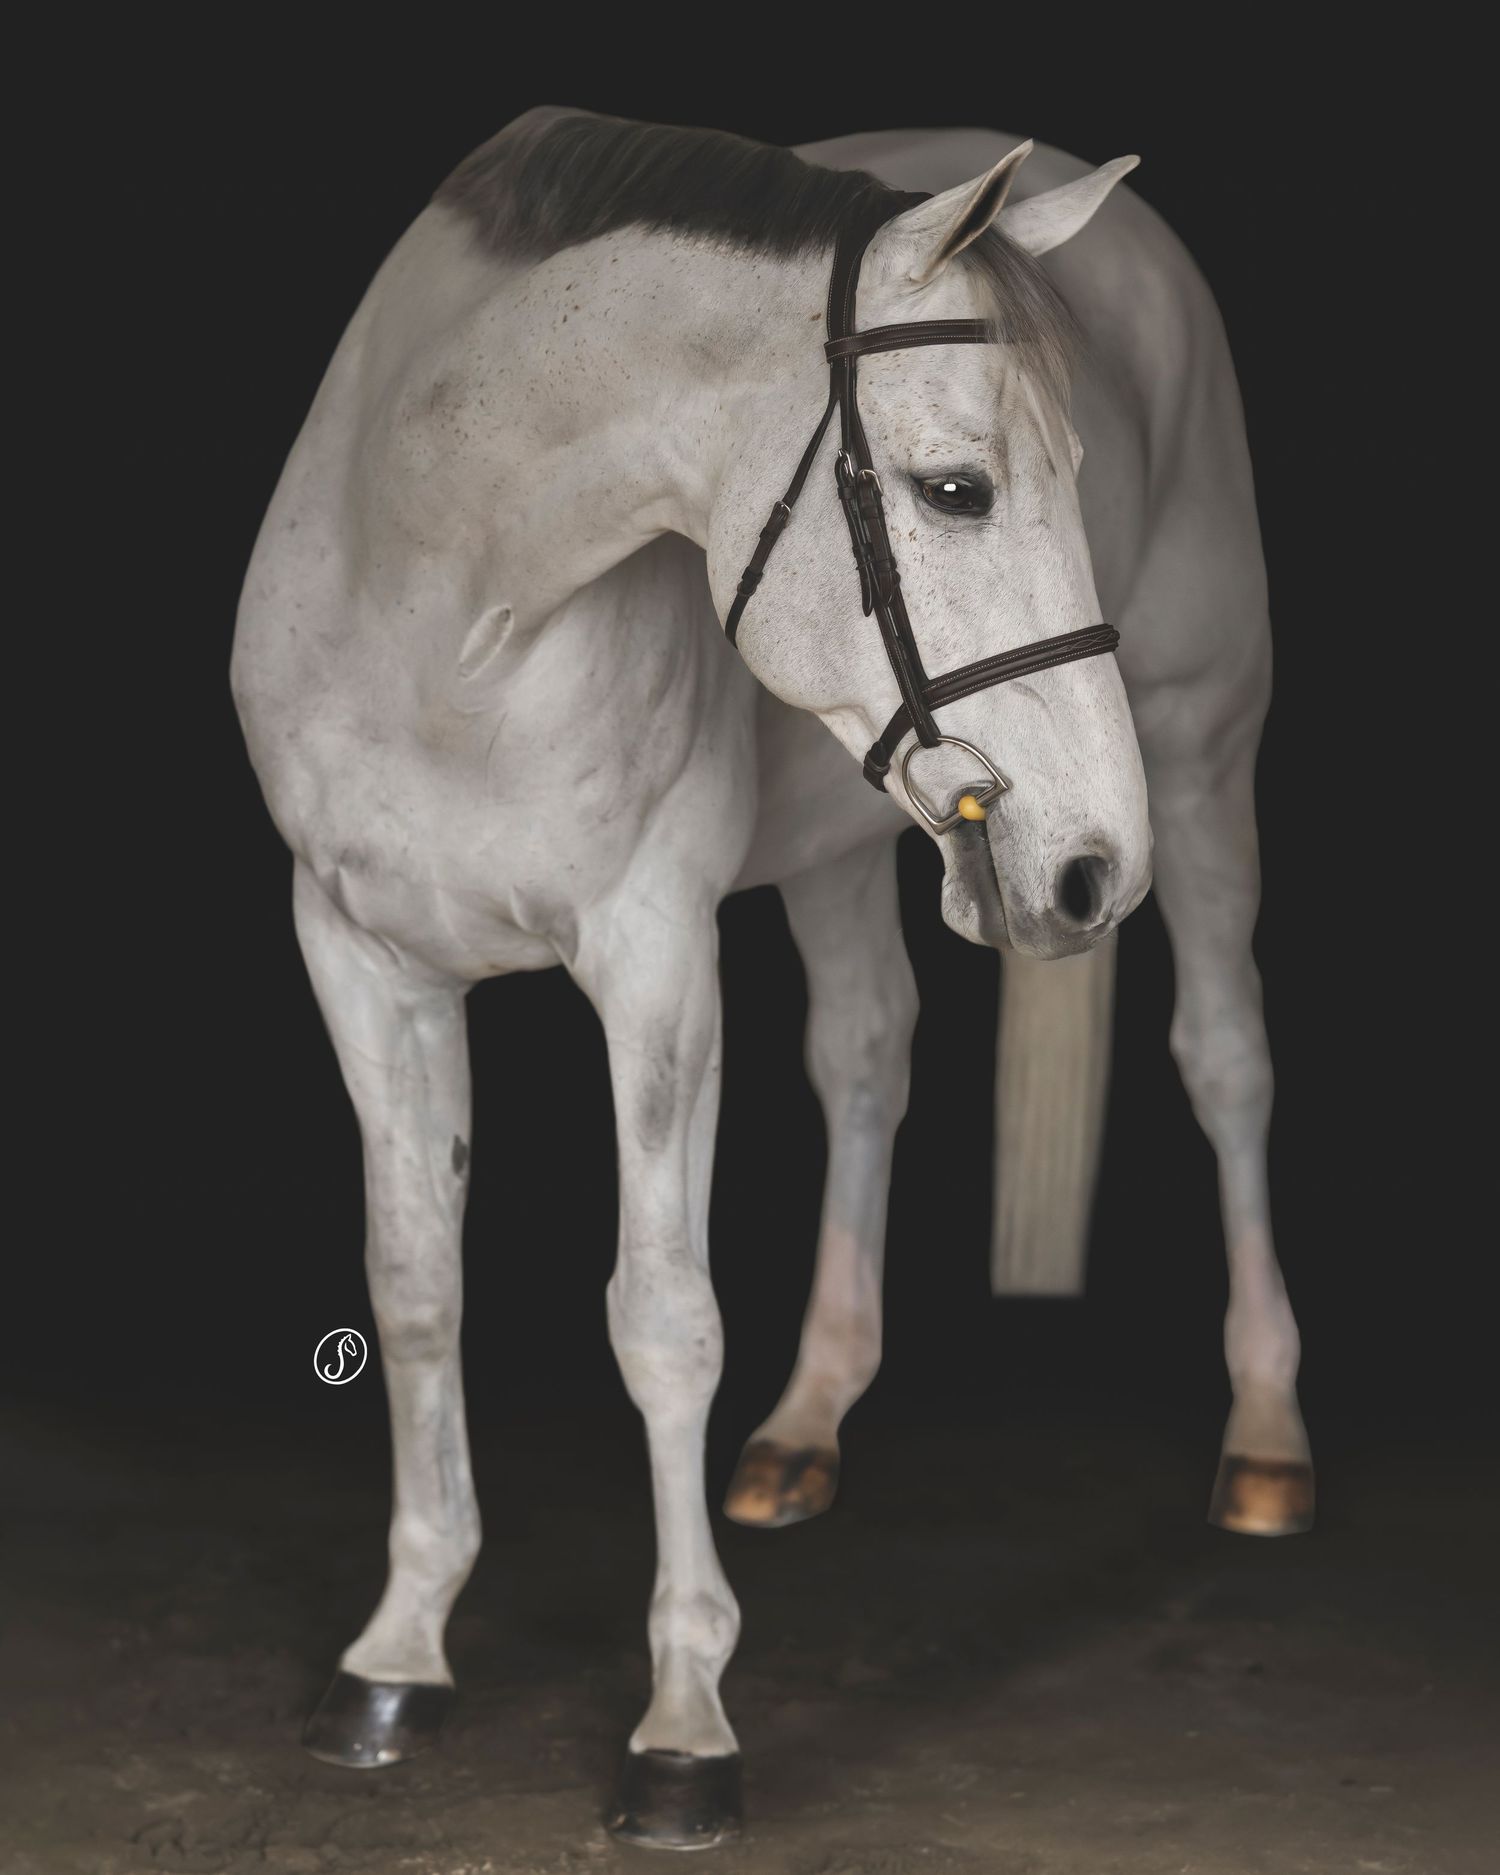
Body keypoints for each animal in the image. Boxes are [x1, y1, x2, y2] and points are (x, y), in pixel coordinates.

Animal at [231, 108, 1302, 1850]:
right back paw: (805, 1424)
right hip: (857, 839)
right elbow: (414, 1283)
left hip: (1207, 755)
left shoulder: (654, 954)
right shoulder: (358, 955)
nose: (1091, 865)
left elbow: (662, 1318)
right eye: (956, 489)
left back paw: (1266, 1442)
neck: (450, 608)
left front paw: (682, 1728)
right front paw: (396, 1652)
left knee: (1224, 1055)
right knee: (868, 1051)